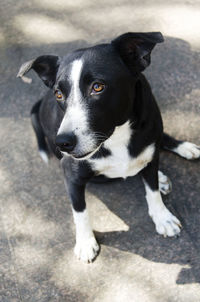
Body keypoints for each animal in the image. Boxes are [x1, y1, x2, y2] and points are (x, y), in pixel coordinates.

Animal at [18, 31, 199, 262]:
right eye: (59, 94)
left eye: (98, 87)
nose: (63, 143)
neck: (115, 135)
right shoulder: (71, 175)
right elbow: (80, 211)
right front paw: (86, 242)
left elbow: (152, 190)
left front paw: (162, 217)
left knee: (158, 146)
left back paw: (180, 152)